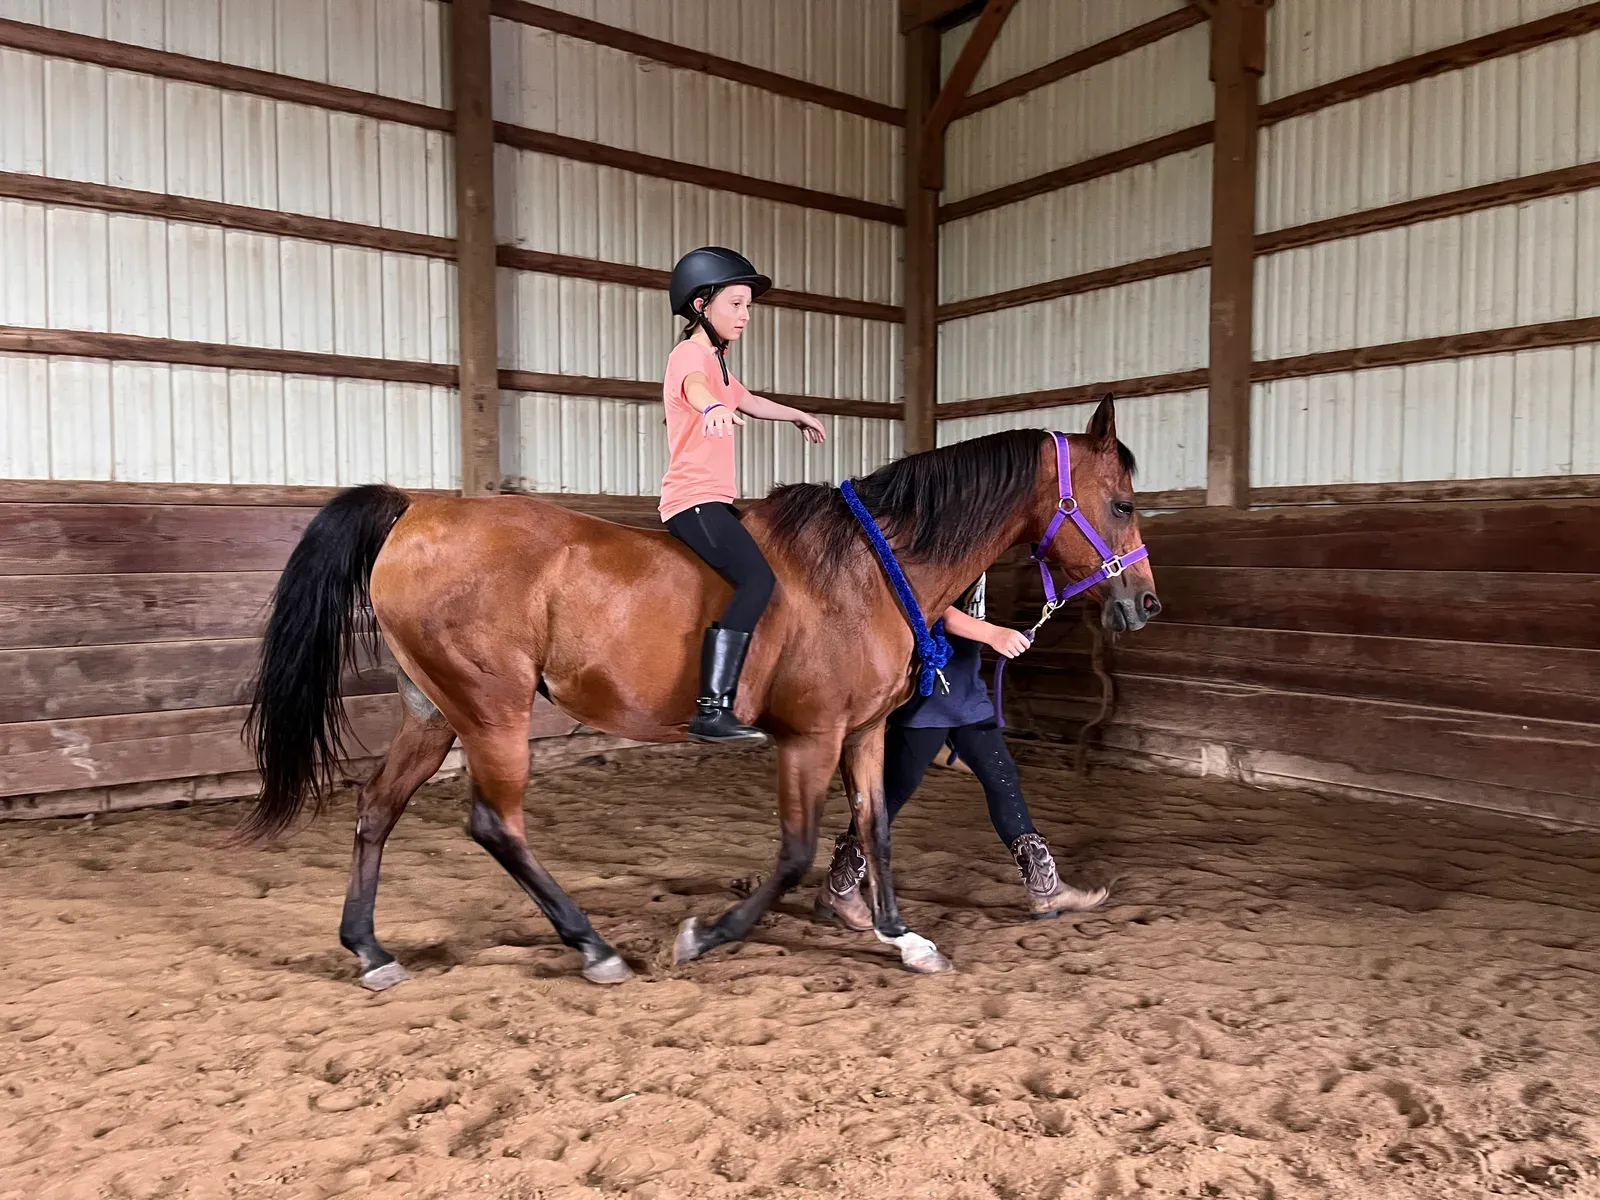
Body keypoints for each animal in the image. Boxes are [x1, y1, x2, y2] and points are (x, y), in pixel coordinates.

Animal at [235, 396, 1161, 989]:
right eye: (1121, 504)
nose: (1144, 604)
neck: (868, 567)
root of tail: (415, 513)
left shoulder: (863, 735)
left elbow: (877, 828)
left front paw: (902, 937)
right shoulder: (810, 738)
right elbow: (794, 852)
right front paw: (704, 936)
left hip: (435, 714)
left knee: (375, 809)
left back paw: (369, 948)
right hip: (493, 712)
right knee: (496, 825)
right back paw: (595, 948)